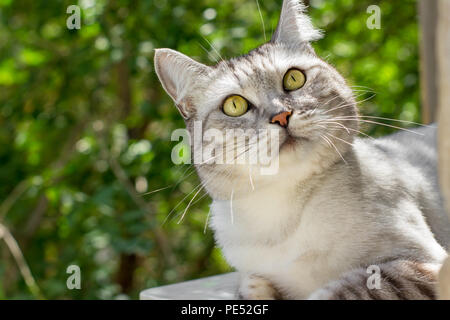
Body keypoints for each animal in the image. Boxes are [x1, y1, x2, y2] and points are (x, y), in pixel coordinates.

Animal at [153, 0, 448, 300]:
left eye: (294, 78)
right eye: (234, 105)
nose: (281, 116)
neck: (283, 216)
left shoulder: (419, 264)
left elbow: (338, 290)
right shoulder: (253, 274)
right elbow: (251, 286)